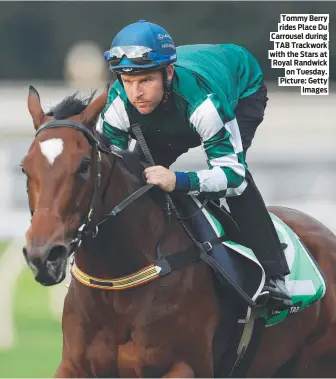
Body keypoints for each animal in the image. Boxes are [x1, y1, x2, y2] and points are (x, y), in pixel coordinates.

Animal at [21, 84, 336, 378]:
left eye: (84, 165)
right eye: (24, 168)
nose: (44, 256)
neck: (116, 288)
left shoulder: (186, 367)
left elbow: (231, 170)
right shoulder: (74, 366)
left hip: (314, 364)